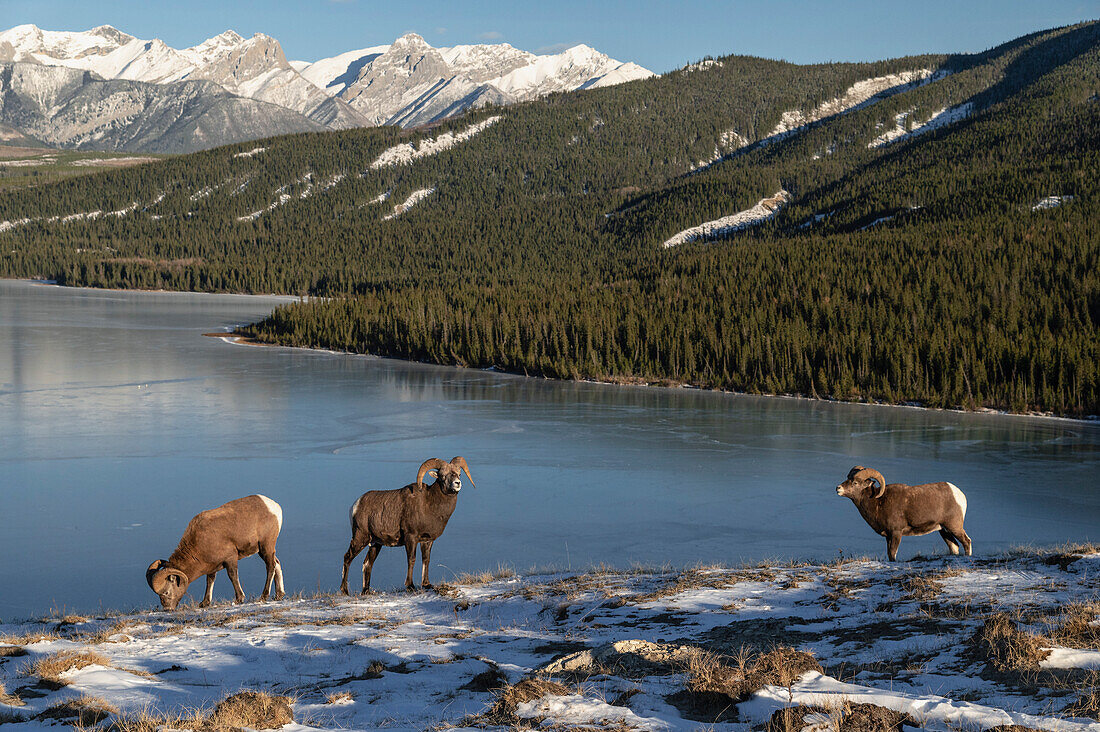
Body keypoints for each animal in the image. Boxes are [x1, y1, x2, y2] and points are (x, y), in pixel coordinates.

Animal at [145, 493, 283, 607]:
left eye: (166, 592)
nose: (168, 608)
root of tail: (275, 507)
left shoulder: (230, 559)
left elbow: (232, 576)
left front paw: (239, 599)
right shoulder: (212, 567)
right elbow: (210, 580)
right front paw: (205, 603)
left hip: (265, 546)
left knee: (270, 566)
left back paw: (264, 596)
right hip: (264, 550)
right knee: (276, 563)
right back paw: (279, 595)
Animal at [336, 457, 470, 594]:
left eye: (459, 474)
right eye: (442, 475)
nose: (457, 483)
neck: (430, 504)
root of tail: (356, 505)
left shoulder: (427, 540)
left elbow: (426, 560)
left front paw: (427, 584)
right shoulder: (411, 538)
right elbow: (411, 559)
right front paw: (410, 586)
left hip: (375, 544)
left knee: (367, 564)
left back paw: (366, 591)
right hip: (360, 538)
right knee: (347, 558)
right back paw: (345, 591)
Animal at [831, 464, 972, 561]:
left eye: (855, 482)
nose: (838, 488)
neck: (878, 503)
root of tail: (959, 495)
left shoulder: (896, 533)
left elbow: (893, 554)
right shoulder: (888, 536)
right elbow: (889, 554)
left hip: (954, 526)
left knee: (966, 541)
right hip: (943, 530)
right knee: (954, 546)